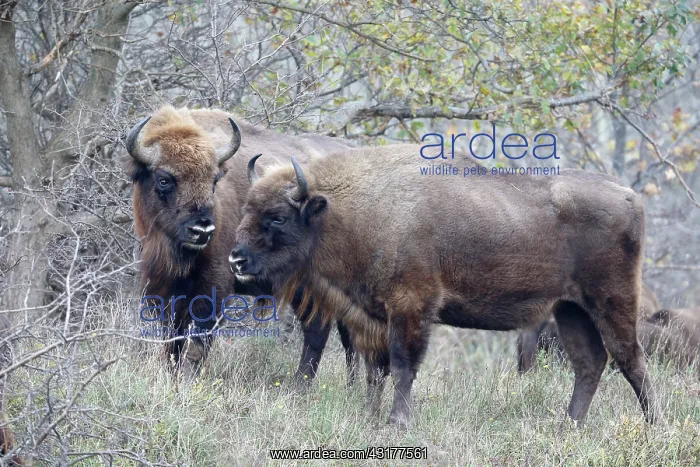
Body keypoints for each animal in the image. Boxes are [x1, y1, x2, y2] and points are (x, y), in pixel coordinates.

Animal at [123, 106, 356, 381]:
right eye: (164, 179)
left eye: (214, 180)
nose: (202, 230)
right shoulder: (168, 289)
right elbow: (172, 342)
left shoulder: (213, 288)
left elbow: (197, 344)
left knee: (326, 333)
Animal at [231, 145, 658, 427]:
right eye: (247, 208)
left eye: (278, 217)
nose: (237, 259)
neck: (351, 210)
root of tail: (629, 196)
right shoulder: (372, 316)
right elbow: (375, 370)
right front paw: (369, 416)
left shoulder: (411, 309)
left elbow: (403, 366)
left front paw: (396, 423)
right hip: (570, 309)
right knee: (590, 363)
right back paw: (568, 426)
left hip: (611, 301)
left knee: (631, 359)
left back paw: (653, 425)